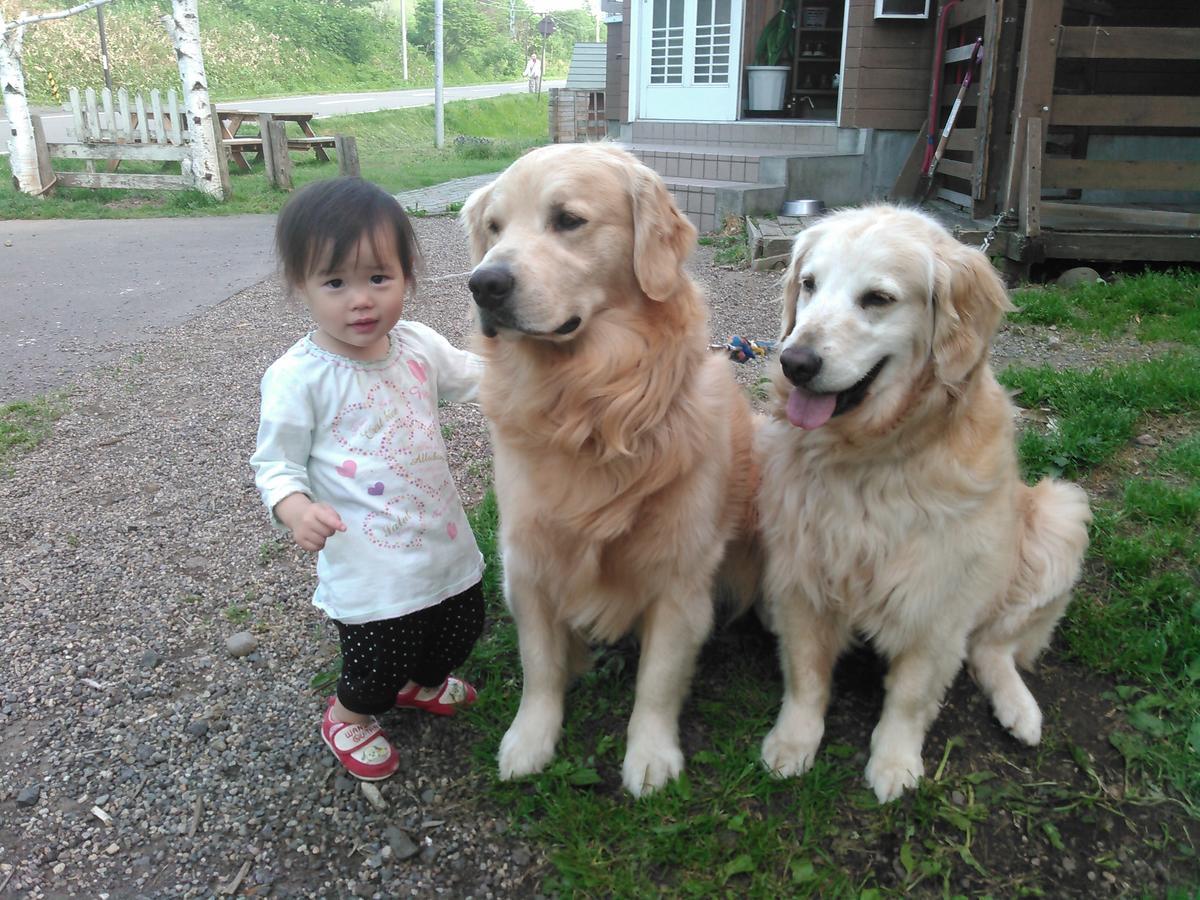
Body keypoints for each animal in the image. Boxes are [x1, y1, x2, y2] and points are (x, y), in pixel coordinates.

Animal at [460, 141, 753, 796]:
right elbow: (539, 664)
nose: (483, 283)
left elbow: (658, 681)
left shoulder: (681, 576)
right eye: (494, 227)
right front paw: (531, 737)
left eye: (568, 219)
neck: (590, 407)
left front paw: (650, 755)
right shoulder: (527, 560)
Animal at [758, 206, 1099, 801]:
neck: (869, 455)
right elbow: (806, 672)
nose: (794, 362)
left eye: (877, 298)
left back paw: (1021, 711)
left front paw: (895, 762)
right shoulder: (801, 570)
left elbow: (912, 693)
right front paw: (793, 741)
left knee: (993, 648)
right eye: (809, 284)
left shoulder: (939, 598)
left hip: (1059, 517)